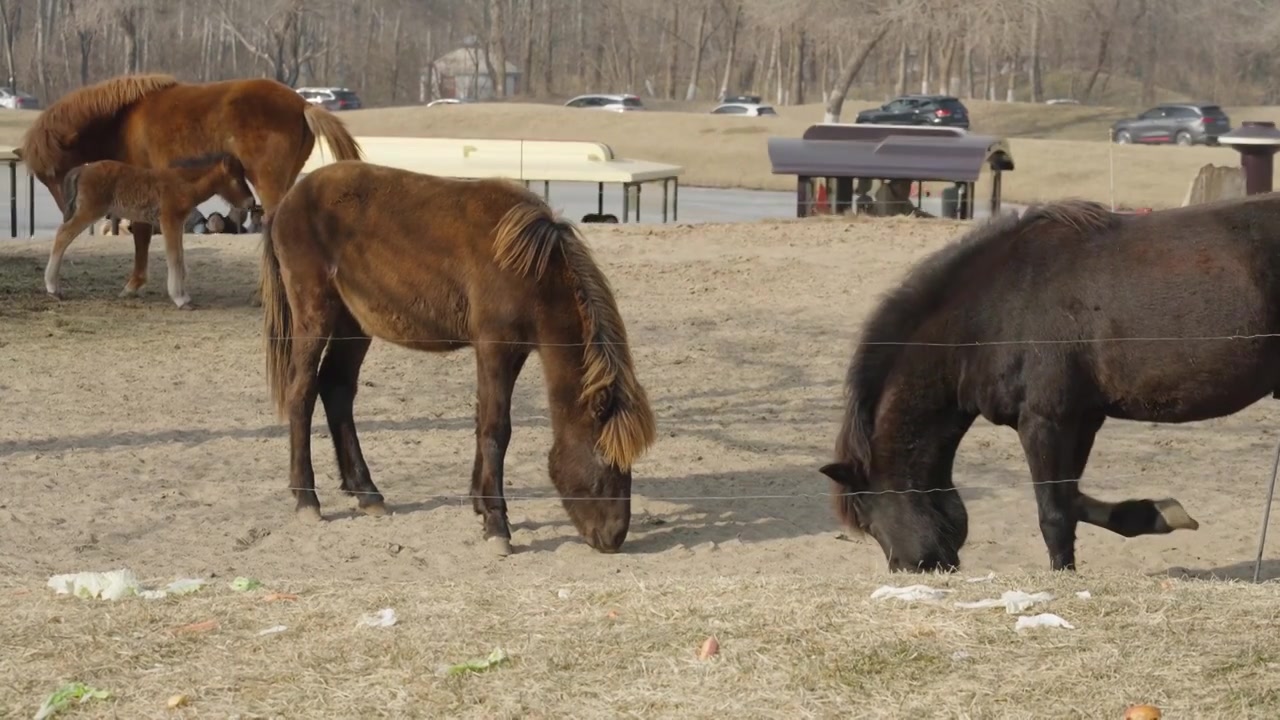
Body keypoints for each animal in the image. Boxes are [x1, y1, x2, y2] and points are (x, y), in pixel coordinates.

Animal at [47, 152, 257, 307]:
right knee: (63, 235)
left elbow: (180, 256)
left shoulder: (178, 223)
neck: (181, 184)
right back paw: (53, 289)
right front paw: (180, 299)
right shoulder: (169, 220)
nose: (251, 203)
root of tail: (83, 168)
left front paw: (184, 295)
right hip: (89, 211)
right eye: (236, 180)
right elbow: (174, 257)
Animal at [259, 159, 660, 550]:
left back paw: (366, 492)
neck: (529, 265)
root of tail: (289, 201)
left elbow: (483, 421)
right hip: (315, 314)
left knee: (337, 388)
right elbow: (496, 429)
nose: (614, 537)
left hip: (353, 322)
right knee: (303, 392)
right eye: (605, 460)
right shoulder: (494, 348)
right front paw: (497, 525)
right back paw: (306, 498)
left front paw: (481, 506)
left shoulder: (513, 352)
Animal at [814, 196, 1280, 571]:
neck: (992, 308)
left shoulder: (1043, 421)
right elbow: (1072, 500)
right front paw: (1156, 514)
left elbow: (1054, 512)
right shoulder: (1083, 420)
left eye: (867, 518)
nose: (907, 568)